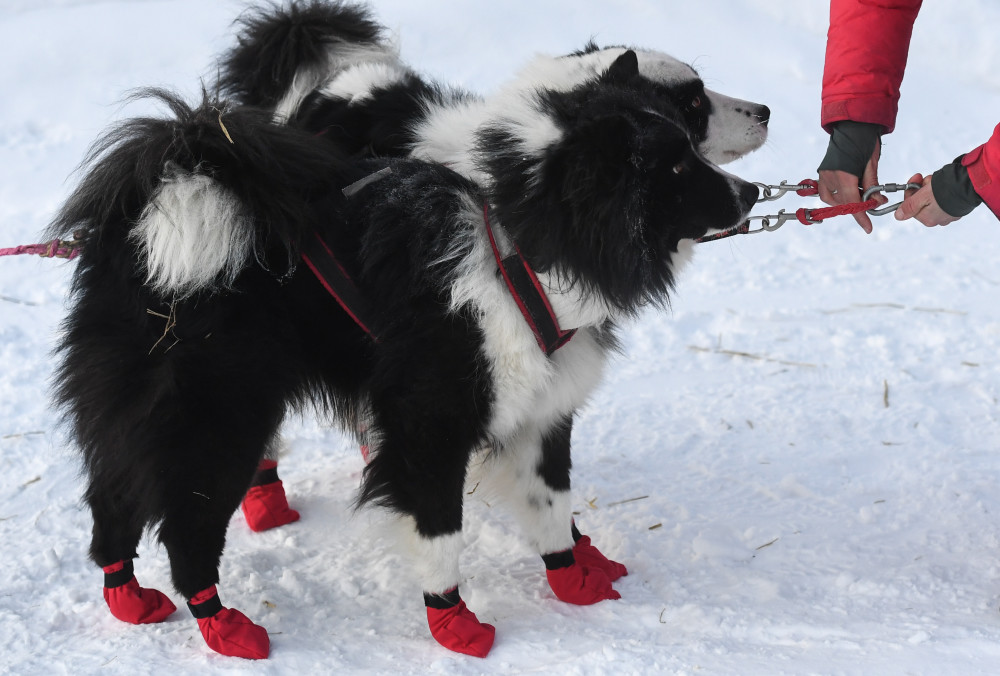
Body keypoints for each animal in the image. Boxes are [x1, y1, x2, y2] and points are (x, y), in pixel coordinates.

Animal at [47, 3, 764, 664]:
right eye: (691, 113)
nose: (754, 190)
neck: (515, 240)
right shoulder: (433, 419)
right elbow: (440, 529)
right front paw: (453, 620)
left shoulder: (540, 405)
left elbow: (551, 501)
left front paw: (575, 572)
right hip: (218, 414)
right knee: (184, 525)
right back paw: (224, 620)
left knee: (112, 500)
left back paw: (134, 594)